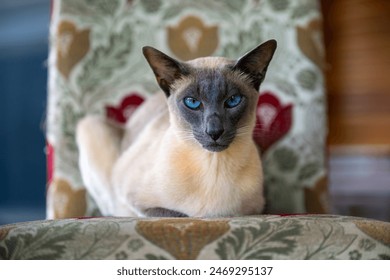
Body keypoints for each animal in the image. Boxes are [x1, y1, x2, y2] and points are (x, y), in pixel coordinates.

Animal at [75, 39, 278, 218]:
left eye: (233, 100)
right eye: (192, 102)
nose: (214, 132)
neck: (213, 165)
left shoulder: (254, 210)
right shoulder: (130, 197)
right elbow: (176, 214)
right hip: (91, 127)